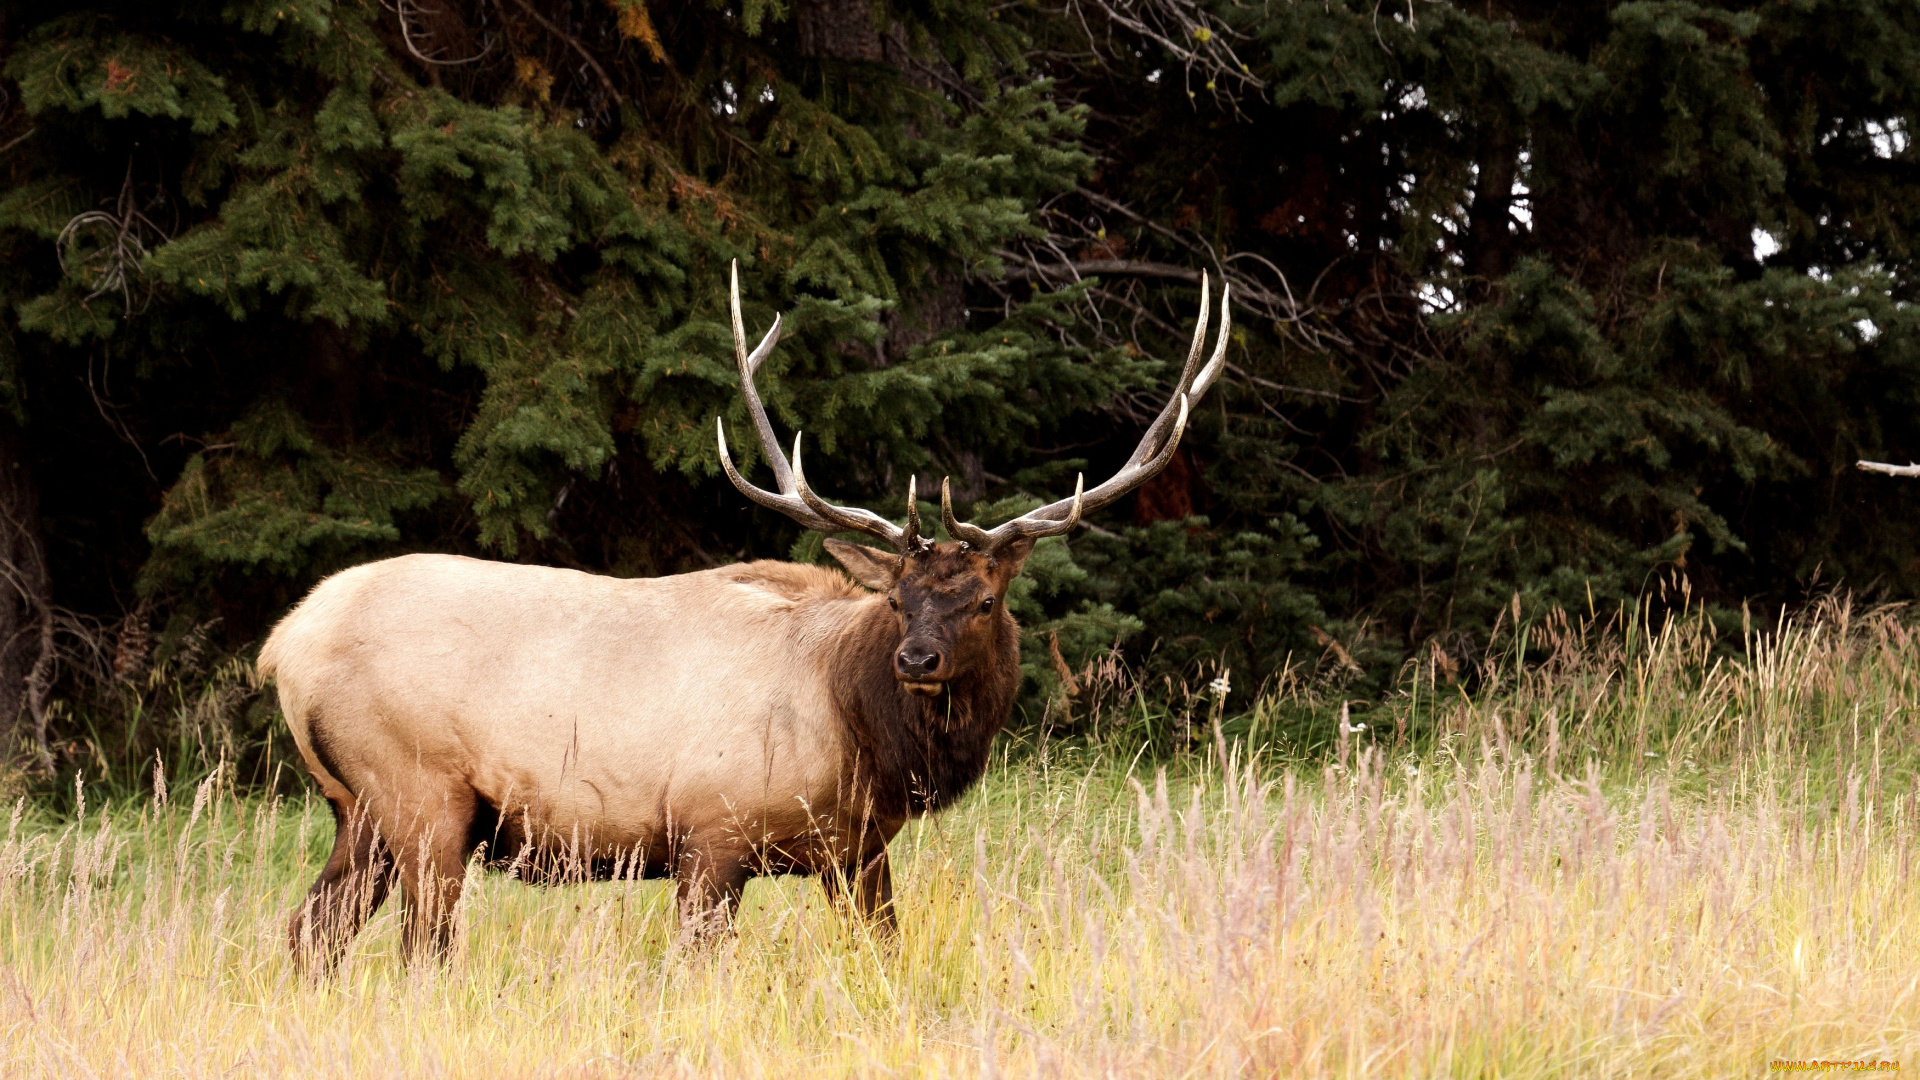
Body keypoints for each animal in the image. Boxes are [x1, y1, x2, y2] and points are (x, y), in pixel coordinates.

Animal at [259, 265, 1228, 960]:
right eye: (898, 597)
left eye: (983, 600)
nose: (916, 660)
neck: (862, 732)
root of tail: (285, 643)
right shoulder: (710, 836)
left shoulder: (858, 852)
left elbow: (886, 953)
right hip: (420, 792)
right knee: (420, 948)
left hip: (360, 811)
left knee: (311, 932)